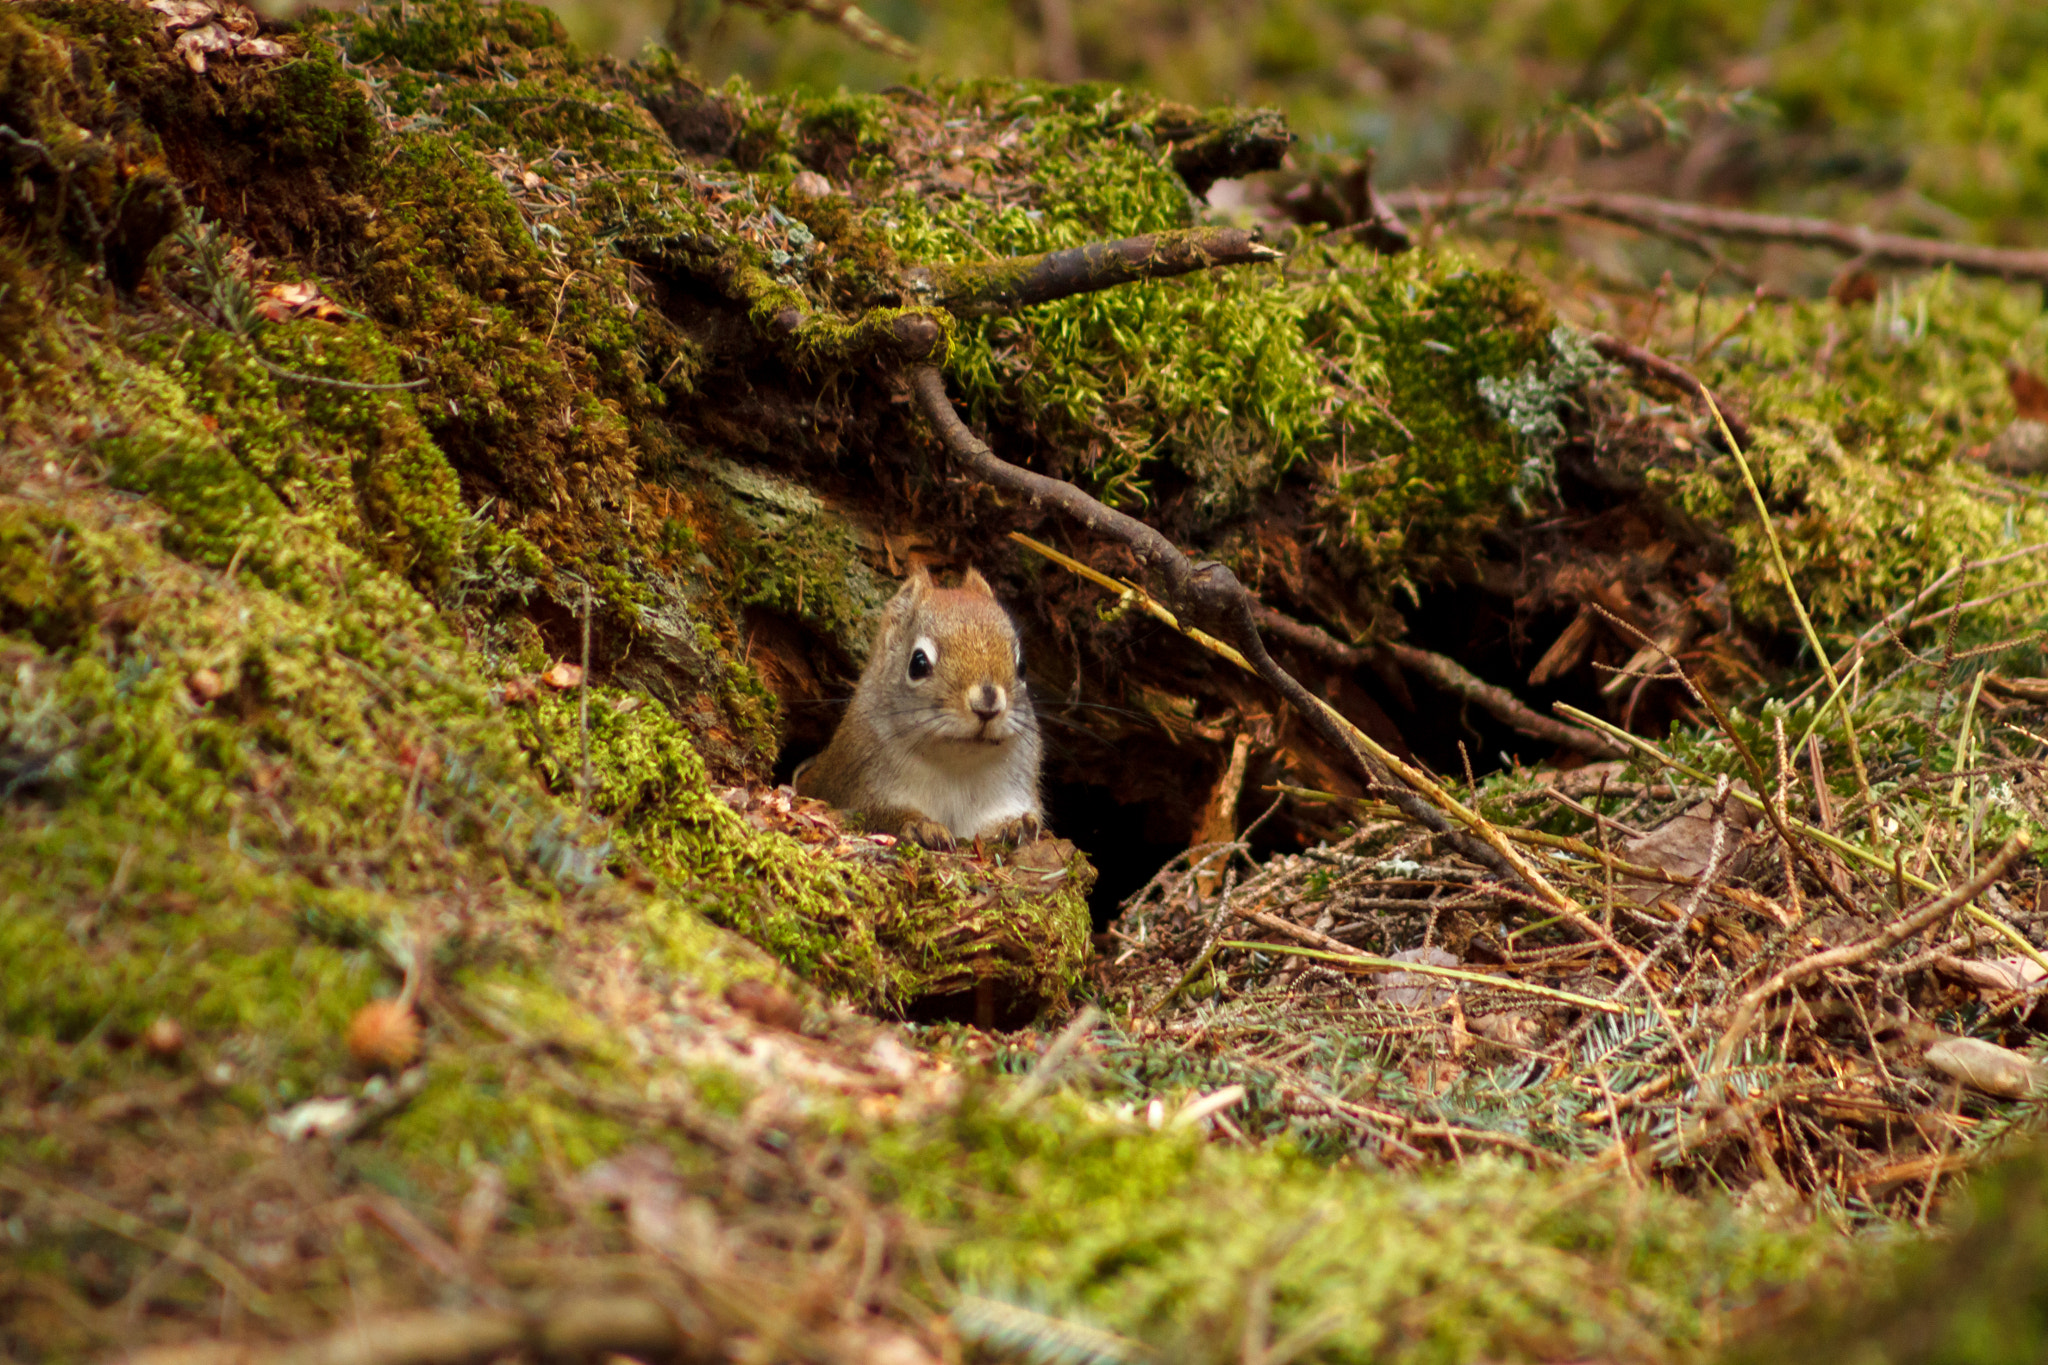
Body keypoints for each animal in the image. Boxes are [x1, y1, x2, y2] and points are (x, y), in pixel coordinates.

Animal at [794, 560, 1040, 847]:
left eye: (1022, 666)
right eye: (918, 663)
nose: (987, 705)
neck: (955, 767)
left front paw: (1016, 825)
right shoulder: (863, 787)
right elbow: (879, 815)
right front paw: (923, 826)